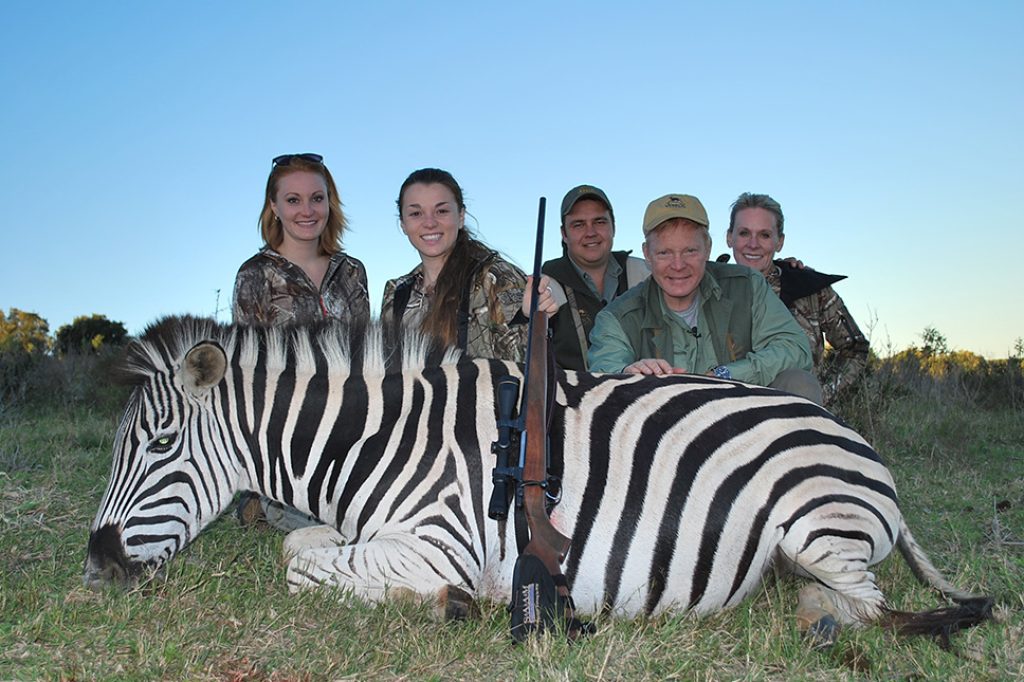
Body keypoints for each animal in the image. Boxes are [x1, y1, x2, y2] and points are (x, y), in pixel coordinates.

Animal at [83, 315, 987, 638]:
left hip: (818, 528)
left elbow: (300, 566)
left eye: (157, 444)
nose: (97, 563)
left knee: (872, 609)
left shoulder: (440, 542)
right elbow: (300, 545)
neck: (381, 441)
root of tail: (860, 447)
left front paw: (452, 603)